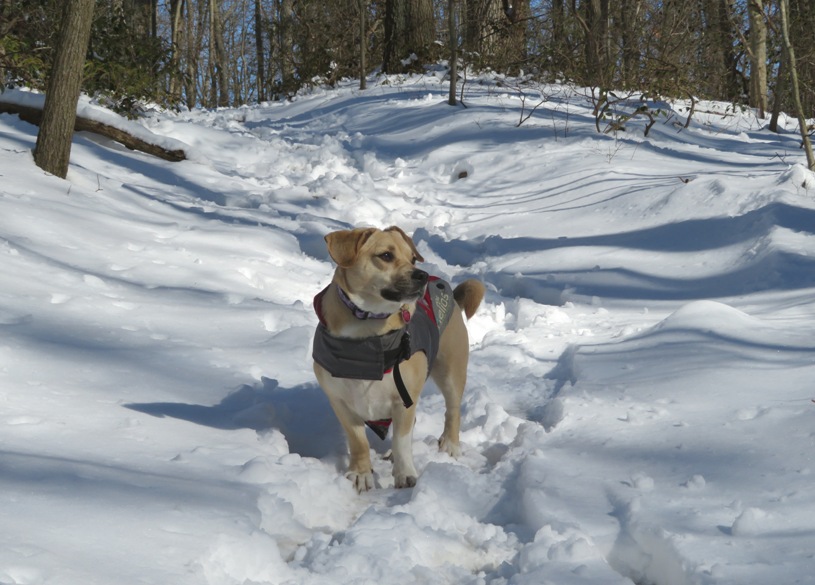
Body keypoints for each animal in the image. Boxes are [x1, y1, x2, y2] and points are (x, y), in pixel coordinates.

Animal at [312, 226, 484, 490]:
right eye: (386, 255)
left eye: (413, 258)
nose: (422, 275)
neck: (367, 329)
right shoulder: (339, 401)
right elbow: (358, 441)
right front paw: (361, 473)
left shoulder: (404, 397)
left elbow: (402, 440)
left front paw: (405, 474)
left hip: (450, 370)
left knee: (452, 410)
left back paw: (450, 446)